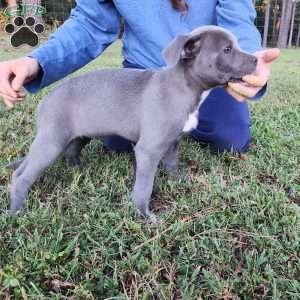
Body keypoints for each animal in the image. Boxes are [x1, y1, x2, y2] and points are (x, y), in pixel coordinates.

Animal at [8, 25, 258, 220]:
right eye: (227, 49)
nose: (256, 59)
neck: (185, 86)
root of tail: (45, 101)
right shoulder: (148, 150)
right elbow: (144, 186)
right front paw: (144, 215)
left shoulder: (172, 141)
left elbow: (172, 164)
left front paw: (179, 180)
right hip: (51, 142)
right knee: (21, 176)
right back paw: (17, 212)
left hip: (77, 135)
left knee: (70, 153)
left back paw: (79, 171)